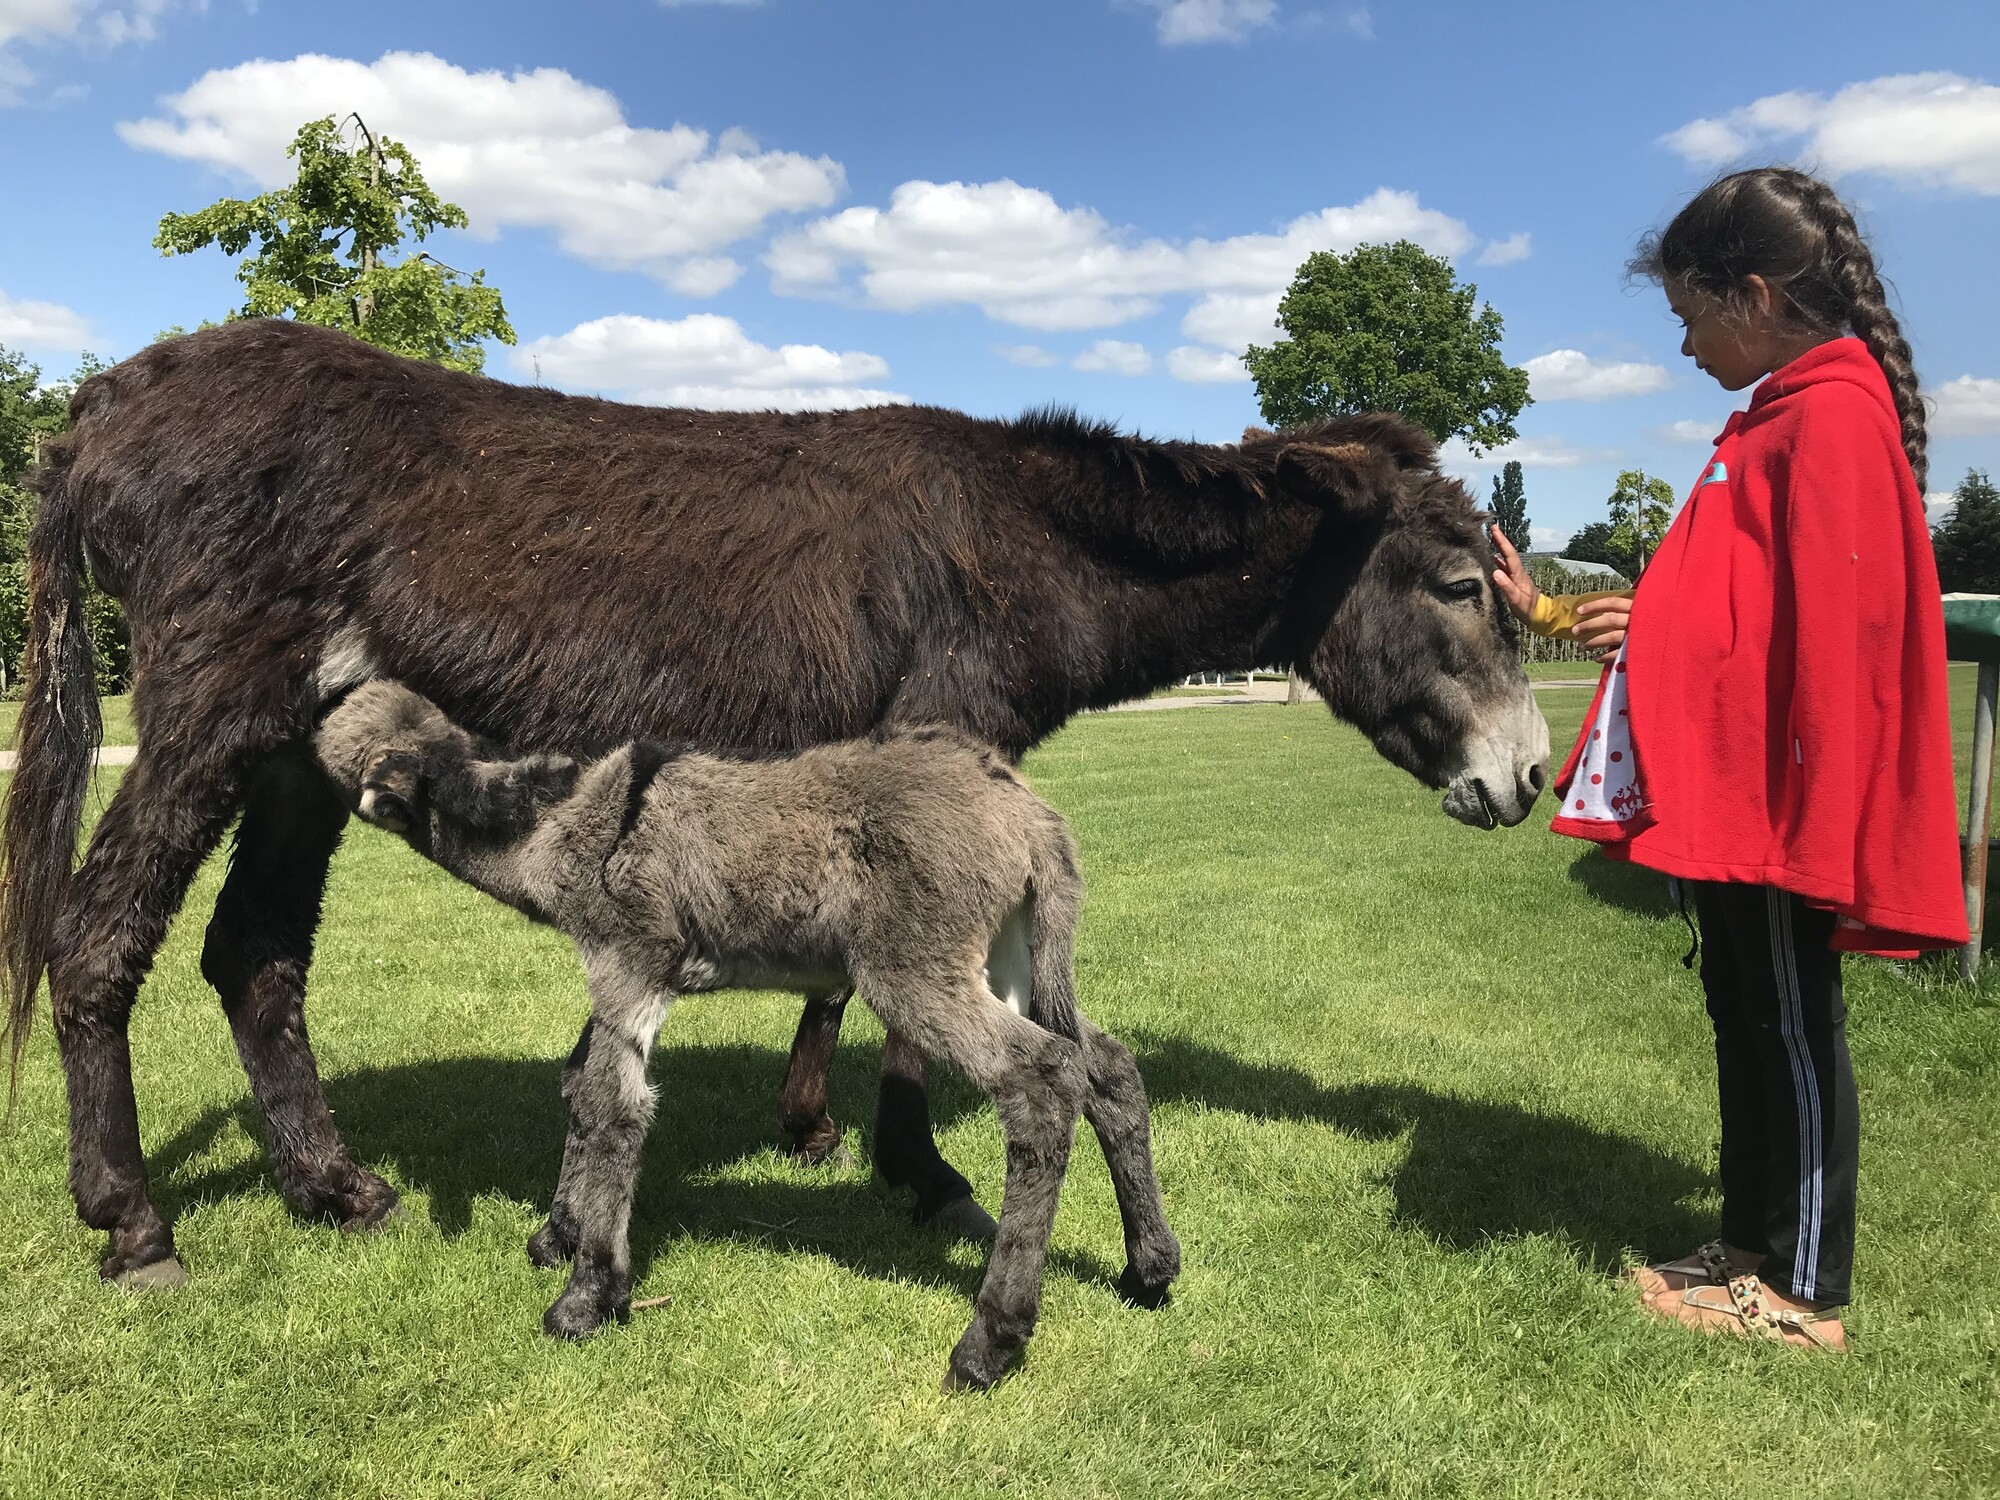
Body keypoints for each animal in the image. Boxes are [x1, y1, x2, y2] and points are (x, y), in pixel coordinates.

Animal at [318, 680, 1176, 1384]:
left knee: (1043, 1081)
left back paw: (990, 1342)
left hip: (914, 972)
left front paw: (588, 1294)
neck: (555, 824)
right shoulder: (621, 984)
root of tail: (1030, 817)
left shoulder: (628, 962)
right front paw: (559, 1236)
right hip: (1011, 961)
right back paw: (1149, 1269)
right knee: (1106, 1068)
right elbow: (580, 1086)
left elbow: (612, 1108)